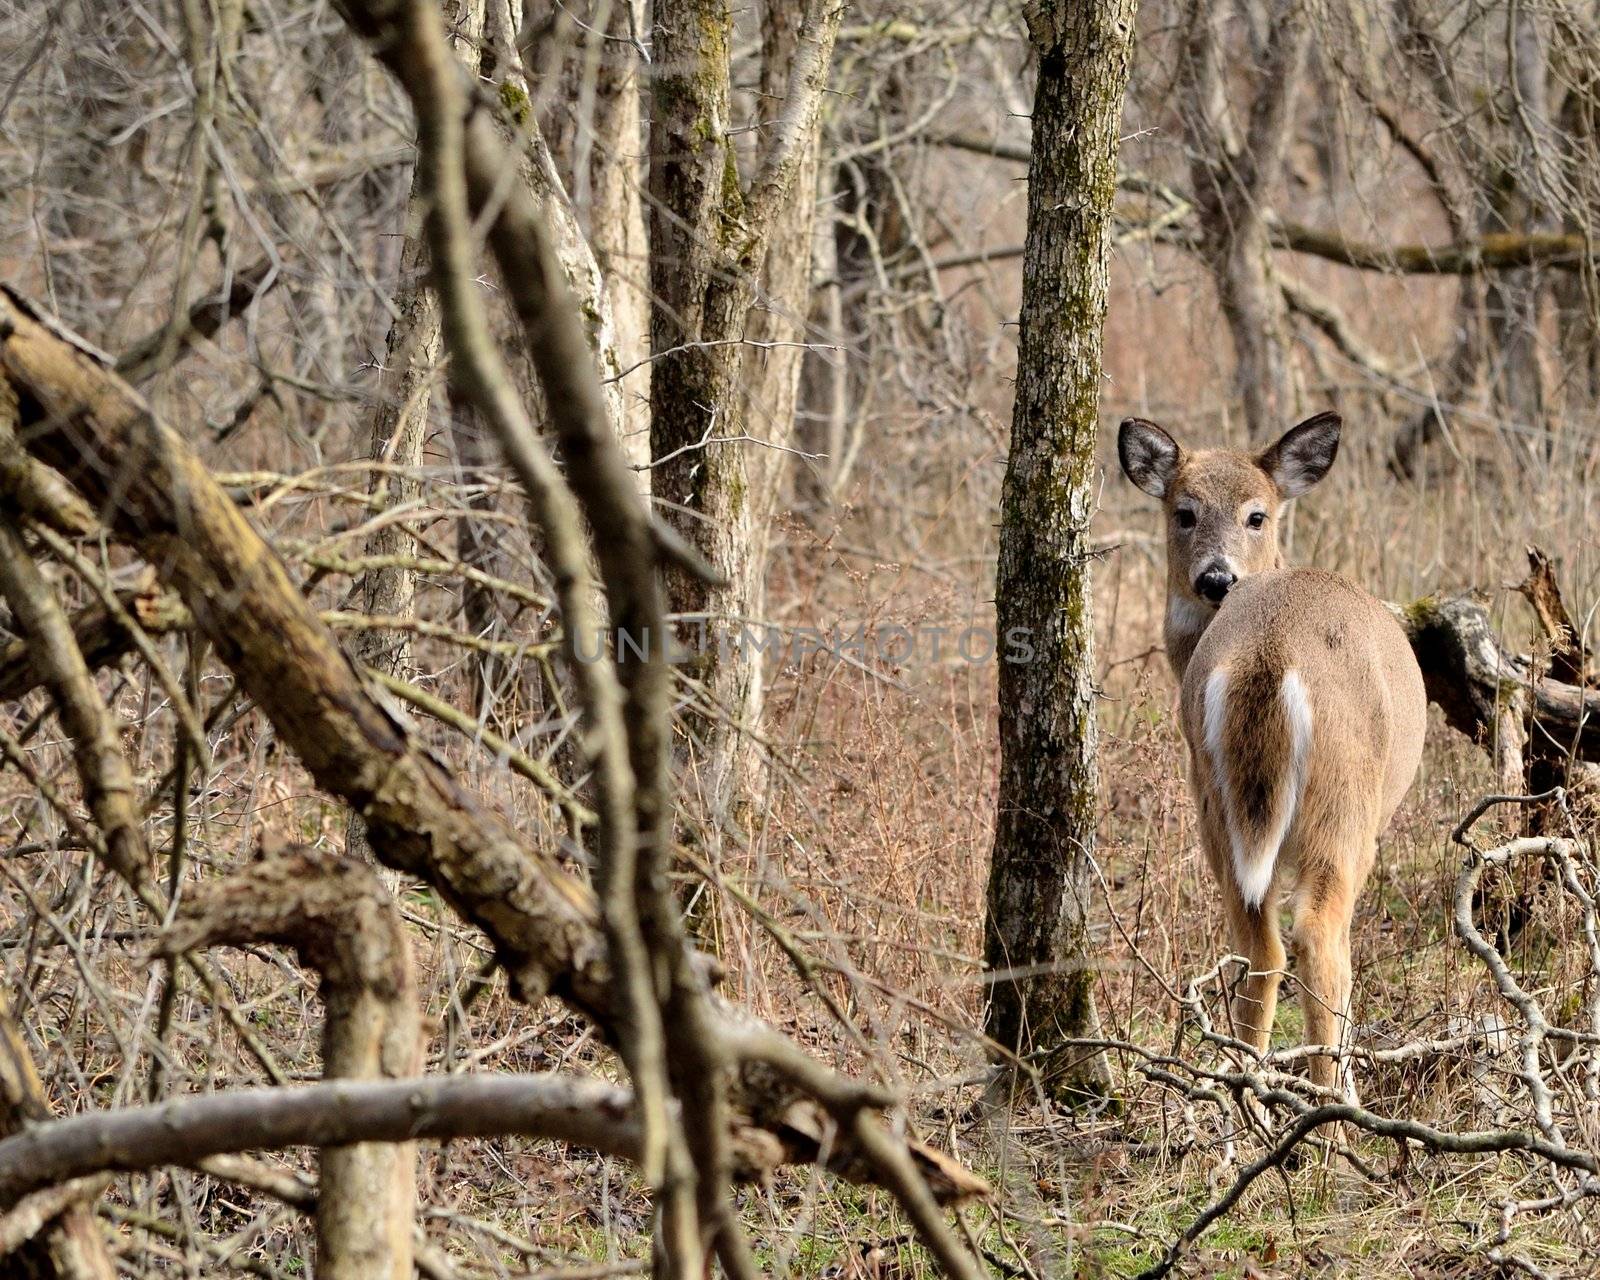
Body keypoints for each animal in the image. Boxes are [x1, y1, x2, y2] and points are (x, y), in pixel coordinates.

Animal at [1113, 412, 1427, 1088]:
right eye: (1184, 512)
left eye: (1257, 515)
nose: (1216, 577)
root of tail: (1270, 654)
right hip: (1345, 799)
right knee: (1317, 937)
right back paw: (1332, 1104)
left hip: (1212, 799)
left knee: (1258, 944)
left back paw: (1249, 1089)